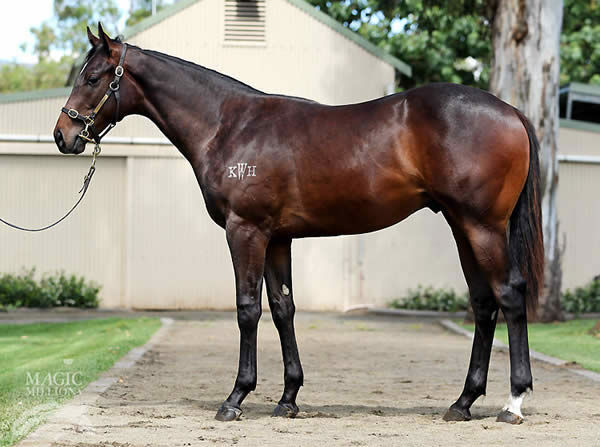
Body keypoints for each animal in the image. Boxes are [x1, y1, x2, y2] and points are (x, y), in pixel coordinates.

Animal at [55, 25, 544, 428]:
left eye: (93, 78)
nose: (63, 135)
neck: (230, 125)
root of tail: (510, 111)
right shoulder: (277, 238)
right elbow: (282, 308)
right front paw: (288, 398)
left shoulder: (245, 231)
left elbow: (247, 309)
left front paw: (235, 398)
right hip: (463, 227)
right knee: (484, 303)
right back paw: (463, 402)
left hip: (482, 226)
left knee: (509, 294)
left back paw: (513, 403)